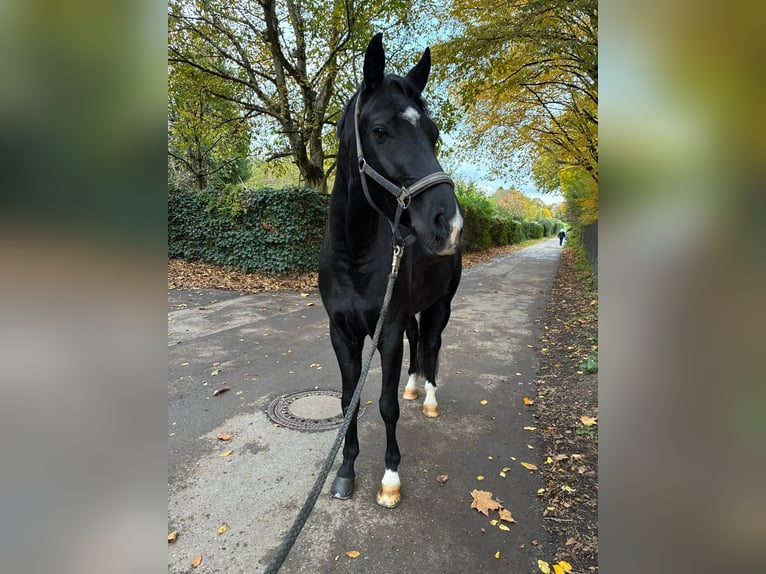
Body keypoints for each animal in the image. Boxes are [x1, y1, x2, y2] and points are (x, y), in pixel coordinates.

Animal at [318, 33, 463, 509]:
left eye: (434, 135)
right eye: (380, 130)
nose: (449, 223)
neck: (354, 256)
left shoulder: (388, 330)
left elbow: (385, 405)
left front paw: (390, 479)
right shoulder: (343, 334)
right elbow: (348, 401)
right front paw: (345, 470)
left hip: (440, 304)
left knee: (432, 344)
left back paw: (429, 397)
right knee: (419, 341)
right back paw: (414, 385)